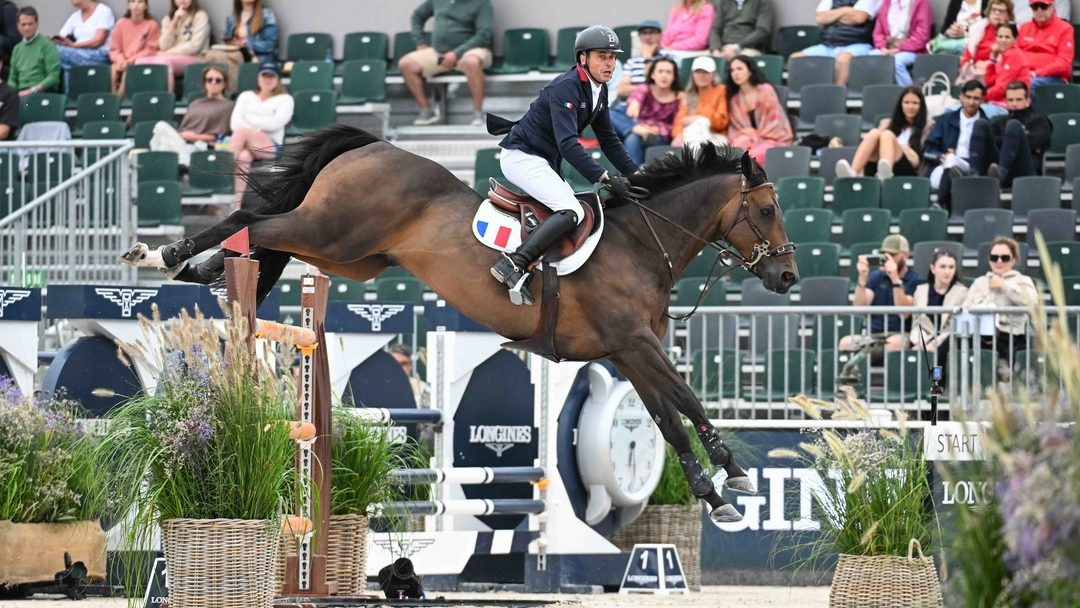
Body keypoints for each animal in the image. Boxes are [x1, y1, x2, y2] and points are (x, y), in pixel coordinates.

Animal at [120, 125, 799, 522]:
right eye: (767, 209)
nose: (789, 277)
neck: (641, 242)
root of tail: (372, 146)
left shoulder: (627, 352)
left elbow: (667, 415)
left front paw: (713, 491)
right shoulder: (633, 344)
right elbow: (686, 398)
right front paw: (735, 473)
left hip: (350, 256)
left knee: (265, 235)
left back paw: (203, 270)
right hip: (333, 231)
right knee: (255, 222)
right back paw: (169, 257)